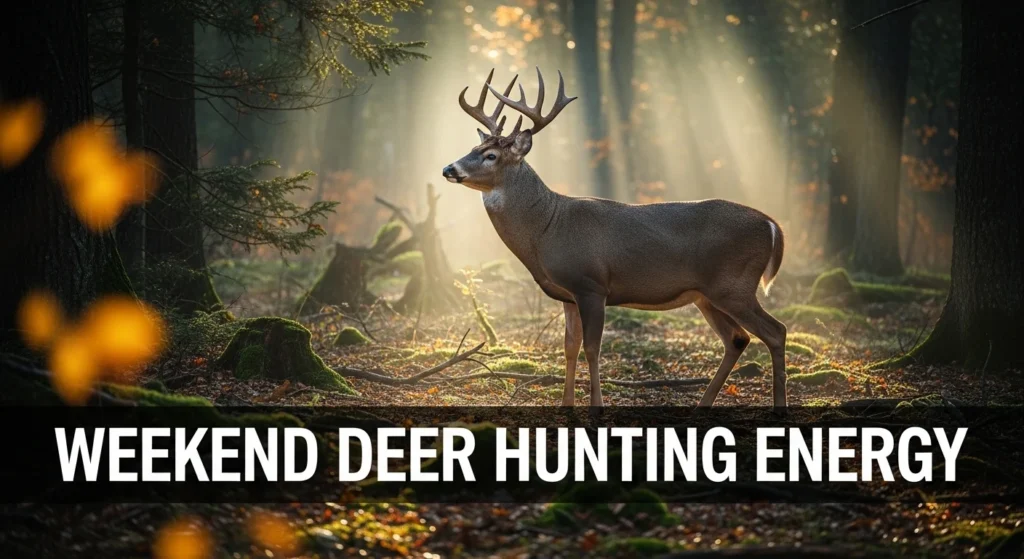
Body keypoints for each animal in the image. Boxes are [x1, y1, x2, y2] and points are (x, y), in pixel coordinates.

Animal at [442, 68, 788, 409]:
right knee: (738, 338)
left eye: (490, 155)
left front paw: (596, 404)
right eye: (473, 149)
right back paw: (703, 404)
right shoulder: (568, 294)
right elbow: (570, 347)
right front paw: (566, 404)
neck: (546, 227)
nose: (448, 168)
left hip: (734, 284)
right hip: (707, 294)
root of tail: (772, 225)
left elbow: (592, 349)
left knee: (776, 331)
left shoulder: (592, 284)